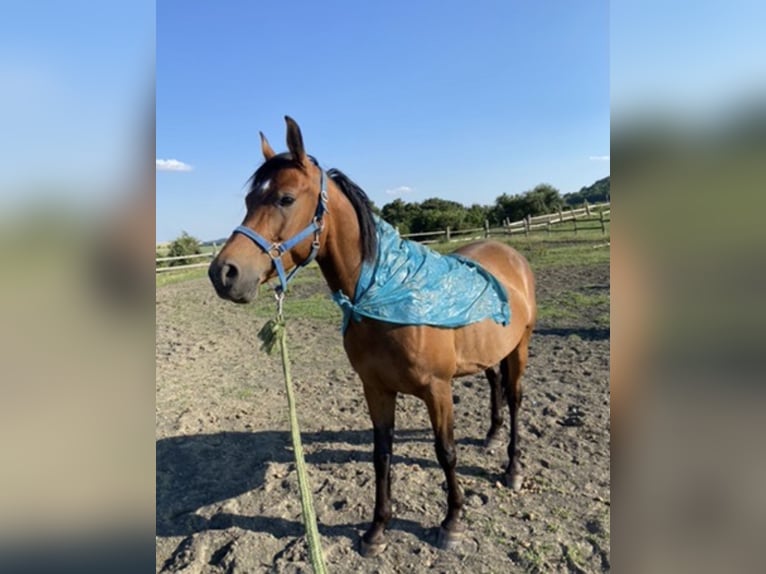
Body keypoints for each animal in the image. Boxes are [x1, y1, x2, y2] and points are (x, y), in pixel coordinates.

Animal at [208, 117, 536, 555]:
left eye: (285, 199)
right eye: (248, 201)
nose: (224, 274)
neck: (384, 294)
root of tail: (509, 254)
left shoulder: (438, 389)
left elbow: (445, 452)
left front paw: (452, 522)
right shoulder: (375, 388)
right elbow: (381, 454)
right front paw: (377, 528)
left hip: (520, 348)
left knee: (515, 398)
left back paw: (513, 468)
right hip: (489, 353)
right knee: (494, 385)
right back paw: (491, 437)